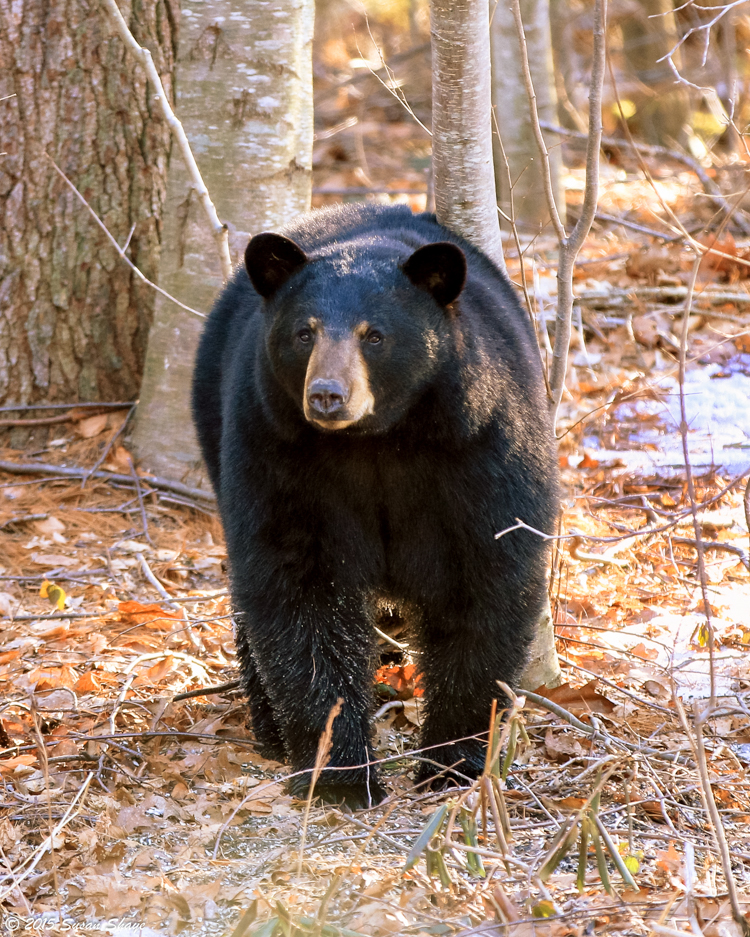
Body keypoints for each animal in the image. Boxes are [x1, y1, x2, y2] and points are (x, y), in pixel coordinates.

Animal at [192, 203, 560, 804]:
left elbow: (485, 578)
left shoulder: (482, 448)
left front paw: (451, 761)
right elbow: (299, 588)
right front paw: (340, 773)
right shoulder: (274, 450)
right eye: (304, 332)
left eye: (375, 336)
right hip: (216, 423)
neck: (377, 442)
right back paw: (268, 728)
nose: (326, 395)